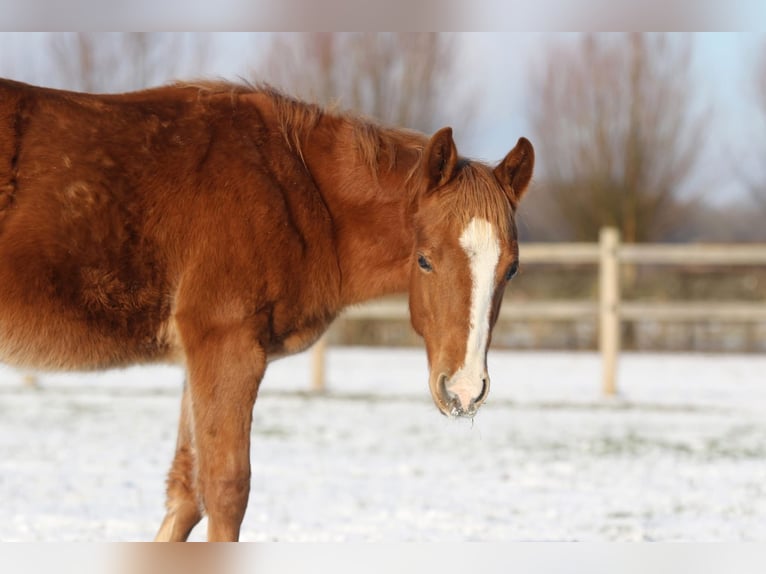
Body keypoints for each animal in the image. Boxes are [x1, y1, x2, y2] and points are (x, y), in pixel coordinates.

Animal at [0, 78, 534, 541]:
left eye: (510, 270)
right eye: (424, 260)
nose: (463, 390)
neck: (294, 191)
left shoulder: (198, 356)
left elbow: (186, 493)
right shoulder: (229, 348)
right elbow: (226, 491)